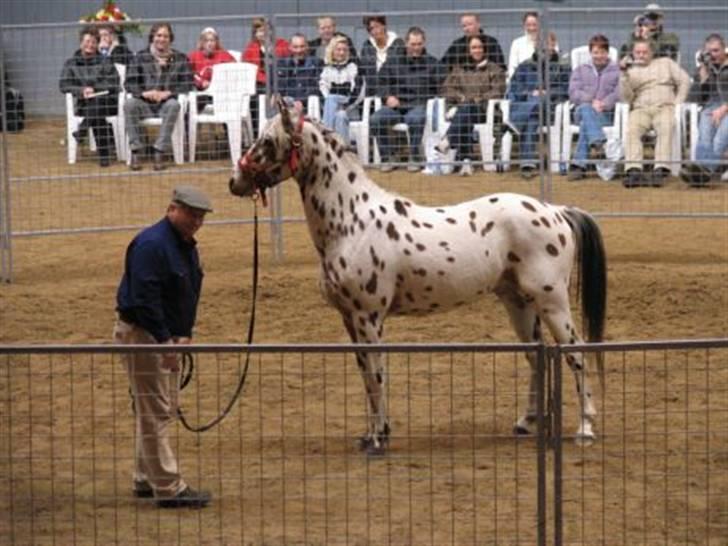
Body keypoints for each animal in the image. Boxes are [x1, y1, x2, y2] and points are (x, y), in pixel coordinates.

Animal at [230, 99, 604, 454]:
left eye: (267, 140)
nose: (236, 182)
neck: (351, 221)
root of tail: (556, 211)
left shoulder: (369, 318)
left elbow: (377, 375)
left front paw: (379, 438)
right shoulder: (350, 319)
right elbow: (366, 377)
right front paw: (370, 434)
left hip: (552, 301)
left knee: (576, 353)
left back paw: (585, 429)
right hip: (519, 302)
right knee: (536, 357)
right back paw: (526, 423)